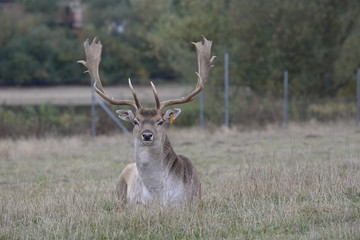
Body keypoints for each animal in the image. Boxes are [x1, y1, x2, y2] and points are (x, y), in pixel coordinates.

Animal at [78, 36, 214, 205]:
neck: (158, 195)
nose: (147, 135)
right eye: (135, 121)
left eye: (160, 121)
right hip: (119, 189)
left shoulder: (191, 201)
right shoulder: (136, 204)